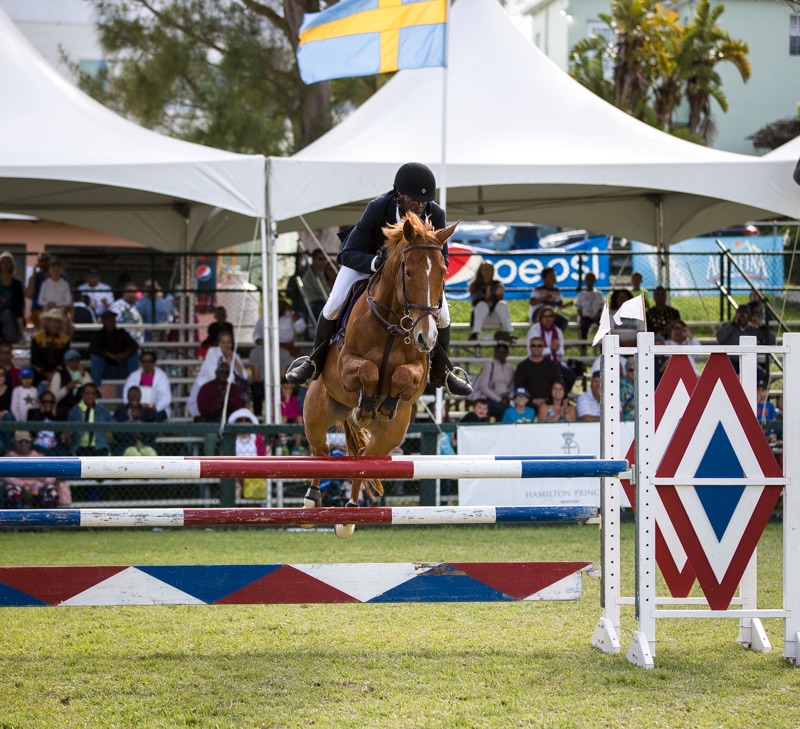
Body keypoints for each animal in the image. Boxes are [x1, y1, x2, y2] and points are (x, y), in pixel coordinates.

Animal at [304, 210, 460, 536]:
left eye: (443, 271)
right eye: (409, 273)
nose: (426, 337)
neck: (393, 323)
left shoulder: (417, 375)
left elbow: (402, 376)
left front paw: (385, 404)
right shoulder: (347, 363)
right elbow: (369, 370)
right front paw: (365, 407)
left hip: (389, 437)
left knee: (363, 458)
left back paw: (349, 515)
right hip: (317, 412)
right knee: (320, 450)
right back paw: (312, 503)